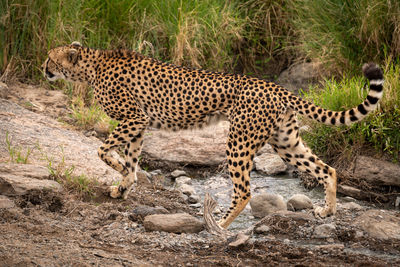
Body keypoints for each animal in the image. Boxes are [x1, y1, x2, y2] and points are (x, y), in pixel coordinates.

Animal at [43, 42, 384, 230]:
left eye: (50, 58)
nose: (42, 67)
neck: (90, 67)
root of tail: (276, 86)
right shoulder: (139, 125)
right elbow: (132, 159)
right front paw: (124, 186)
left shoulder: (135, 118)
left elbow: (102, 150)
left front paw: (119, 174)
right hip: (286, 142)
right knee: (327, 169)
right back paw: (327, 210)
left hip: (239, 142)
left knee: (244, 191)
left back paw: (219, 225)